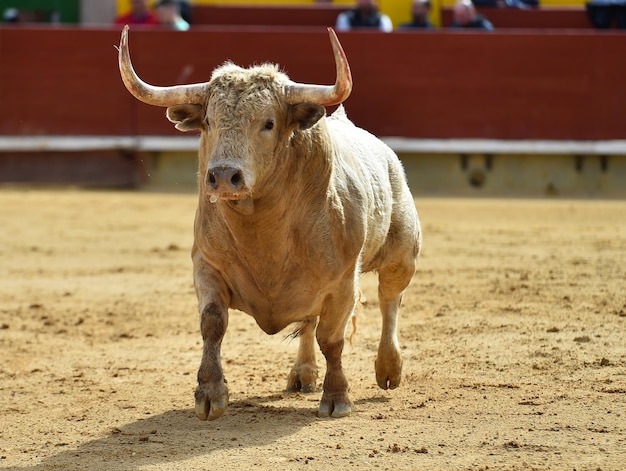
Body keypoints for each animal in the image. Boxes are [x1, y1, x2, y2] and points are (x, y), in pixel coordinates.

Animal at [117, 26, 420, 420]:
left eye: (269, 123)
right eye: (209, 121)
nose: (223, 176)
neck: (261, 228)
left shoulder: (342, 282)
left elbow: (332, 339)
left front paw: (337, 397)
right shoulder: (207, 265)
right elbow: (212, 323)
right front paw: (209, 394)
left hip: (403, 252)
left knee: (389, 301)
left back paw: (388, 369)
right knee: (310, 322)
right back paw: (303, 374)